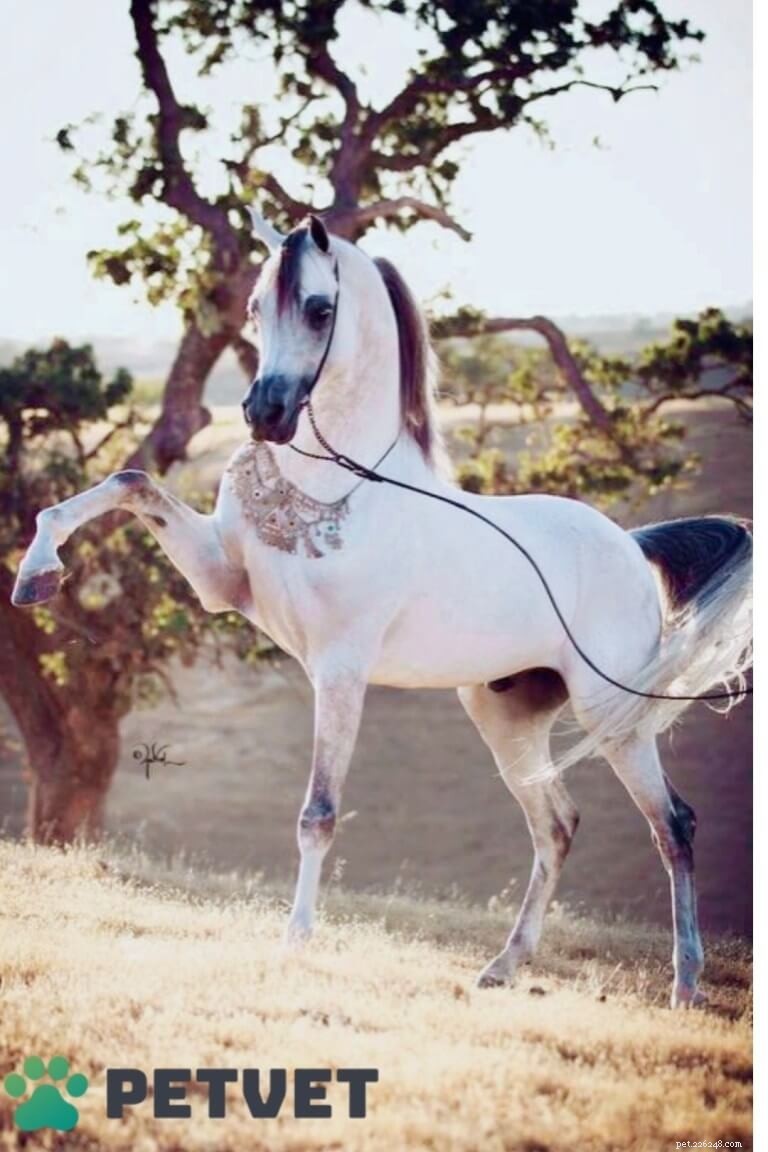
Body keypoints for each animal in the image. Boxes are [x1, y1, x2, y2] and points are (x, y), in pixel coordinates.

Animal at [12, 208, 752, 1009]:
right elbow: (129, 480)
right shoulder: (221, 583)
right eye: (253, 308)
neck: (339, 484)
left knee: (673, 824)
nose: (264, 414)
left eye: (318, 308)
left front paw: (296, 941)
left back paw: (685, 983)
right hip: (504, 714)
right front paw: (36, 574)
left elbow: (319, 813)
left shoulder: (339, 670)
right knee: (556, 825)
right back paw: (503, 966)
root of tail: (632, 546)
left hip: (610, 717)